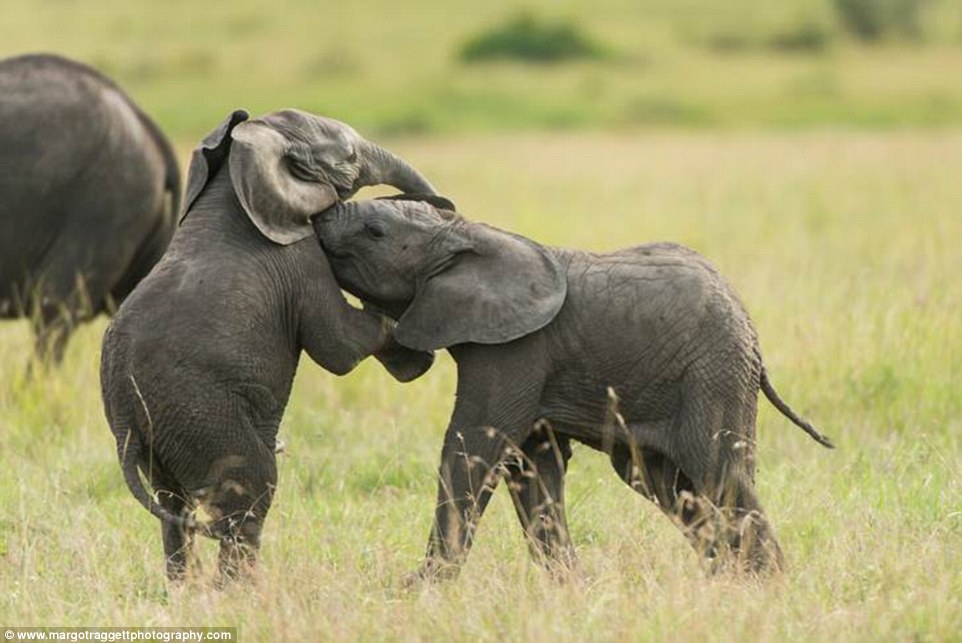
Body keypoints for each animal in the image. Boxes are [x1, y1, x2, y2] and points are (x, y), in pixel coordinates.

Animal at [102, 110, 436, 584]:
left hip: (161, 433)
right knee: (250, 493)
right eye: (350, 155)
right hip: (202, 417)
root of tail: (125, 417)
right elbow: (338, 348)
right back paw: (241, 589)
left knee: (173, 505)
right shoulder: (300, 258)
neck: (238, 170)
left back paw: (185, 588)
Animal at [316, 195, 832, 584]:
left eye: (374, 230)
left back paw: (767, 585)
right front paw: (572, 588)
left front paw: (417, 588)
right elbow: (532, 466)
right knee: (667, 483)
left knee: (718, 473)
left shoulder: (517, 350)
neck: (462, 233)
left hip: (713, 376)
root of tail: (751, 331)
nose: (317, 216)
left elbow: (473, 446)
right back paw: (727, 582)